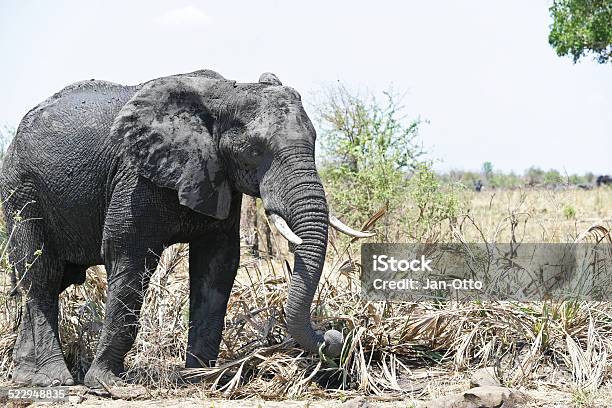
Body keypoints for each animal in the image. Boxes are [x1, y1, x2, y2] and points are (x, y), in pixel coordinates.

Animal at [1, 70, 372, 388]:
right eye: (254, 150)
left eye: (315, 140)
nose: (336, 336)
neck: (225, 95)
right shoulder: (134, 175)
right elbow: (128, 254)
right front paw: (107, 384)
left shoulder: (220, 177)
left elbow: (217, 263)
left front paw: (203, 378)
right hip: (21, 189)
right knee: (41, 275)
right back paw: (51, 379)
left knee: (55, 278)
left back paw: (27, 376)